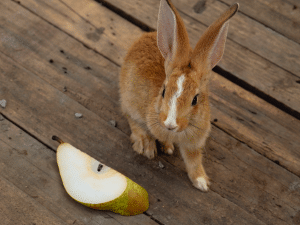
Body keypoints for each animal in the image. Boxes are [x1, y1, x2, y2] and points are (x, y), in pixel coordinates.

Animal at [119, 0, 239, 192]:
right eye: (163, 91)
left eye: (195, 99)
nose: (170, 123)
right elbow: (138, 125)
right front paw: (149, 147)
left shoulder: (194, 143)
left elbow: (193, 161)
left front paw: (201, 183)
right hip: (128, 98)